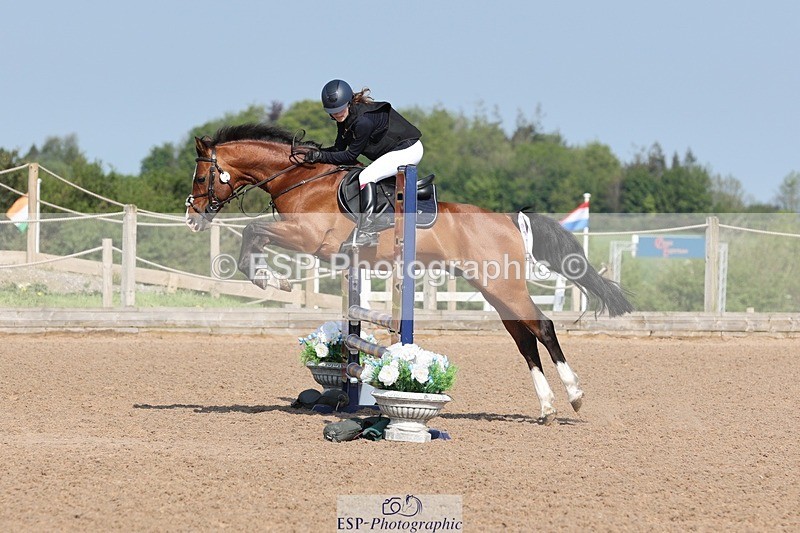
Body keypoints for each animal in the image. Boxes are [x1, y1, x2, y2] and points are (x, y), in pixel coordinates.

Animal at [185, 123, 633, 424]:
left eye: (202, 175)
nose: (192, 216)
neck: (300, 179)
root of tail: (508, 218)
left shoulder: (308, 238)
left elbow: (252, 231)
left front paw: (271, 279)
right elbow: (255, 234)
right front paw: (270, 278)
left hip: (504, 287)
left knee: (542, 327)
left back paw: (574, 395)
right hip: (493, 290)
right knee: (523, 339)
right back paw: (546, 407)